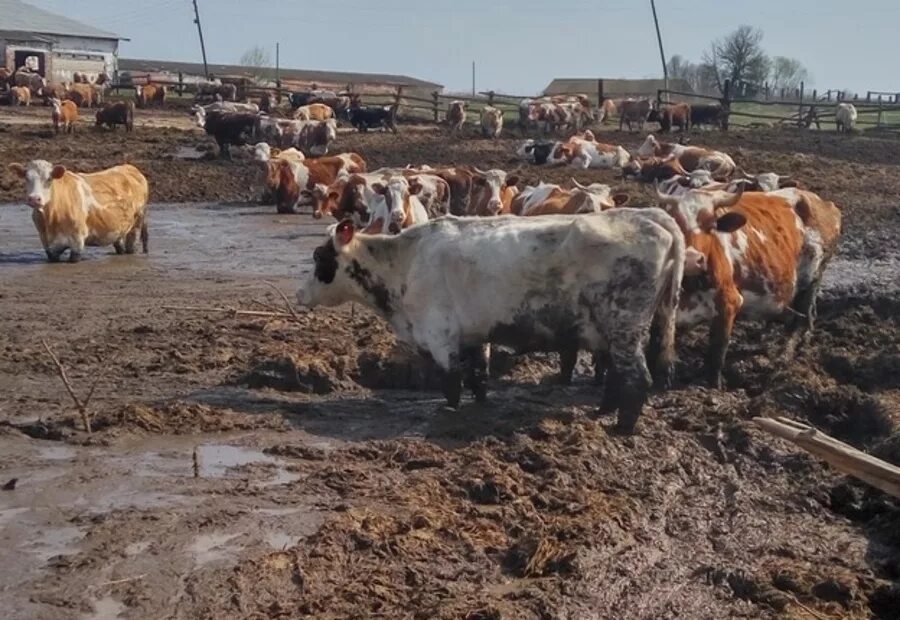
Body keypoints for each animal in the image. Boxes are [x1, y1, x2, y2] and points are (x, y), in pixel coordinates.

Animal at [8, 160, 151, 262]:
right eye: (27, 178)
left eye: (49, 179)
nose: (34, 199)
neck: (51, 218)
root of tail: (130, 168)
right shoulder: (47, 244)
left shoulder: (77, 240)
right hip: (118, 228)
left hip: (137, 223)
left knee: (132, 245)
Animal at [652, 185, 844, 388]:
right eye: (677, 225)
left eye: (712, 225)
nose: (691, 259)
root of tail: (820, 201)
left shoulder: (729, 303)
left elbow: (716, 352)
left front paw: (714, 386)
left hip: (813, 276)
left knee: (803, 318)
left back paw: (784, 357)